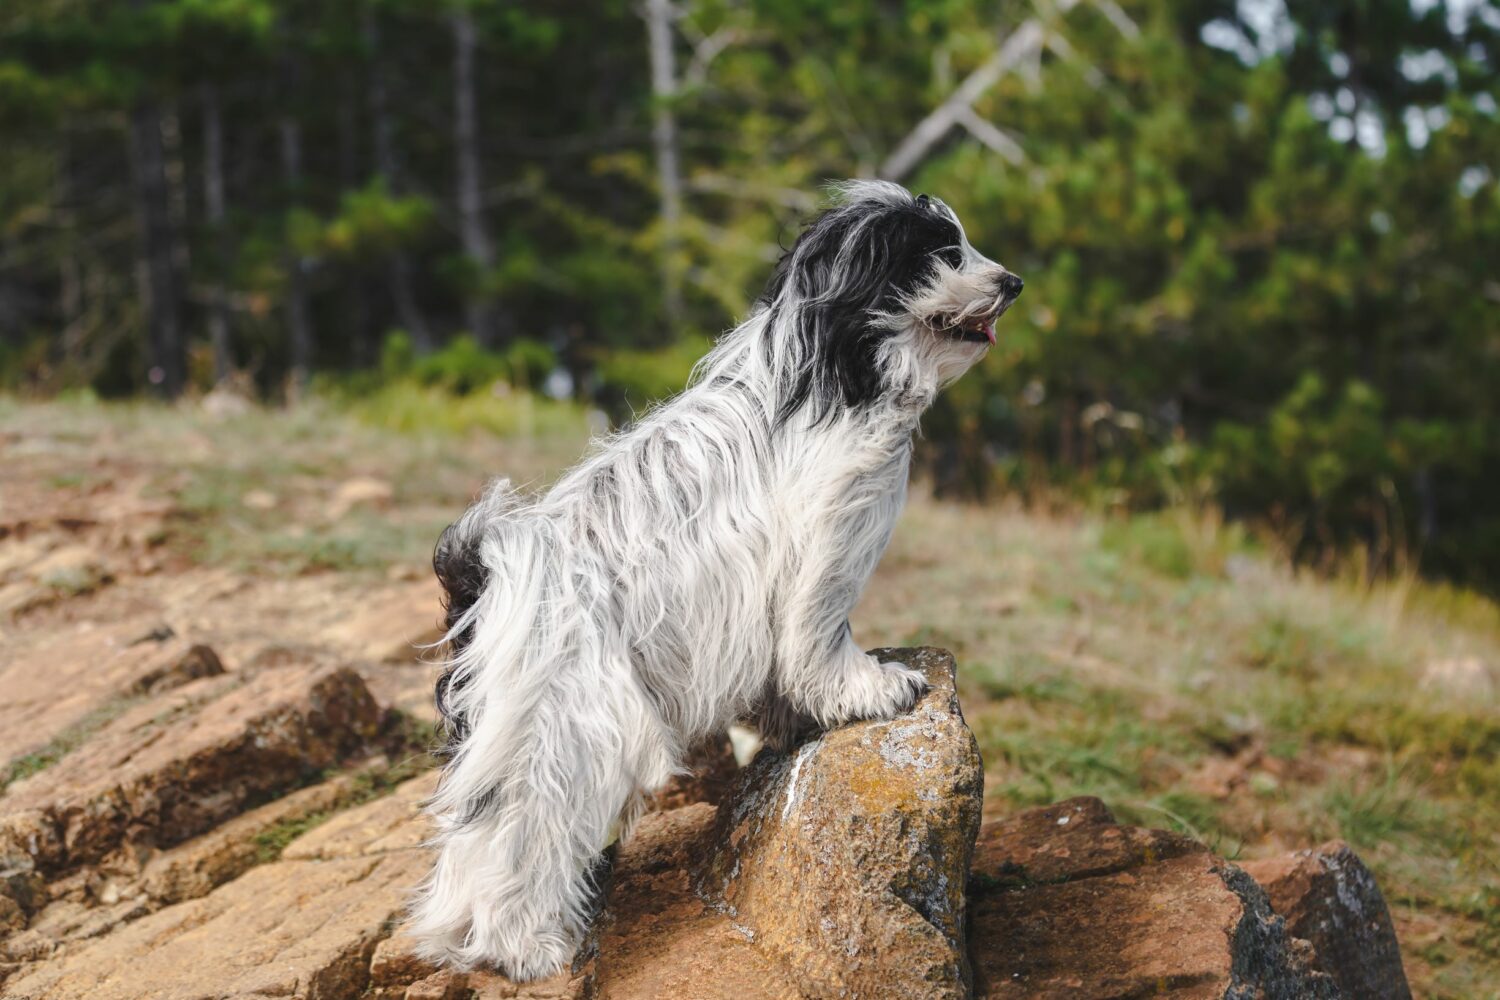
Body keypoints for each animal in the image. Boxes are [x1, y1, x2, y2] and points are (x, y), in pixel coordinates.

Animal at [408, 177, 1020, 977]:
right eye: (943, 252)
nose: (1013, 282)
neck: (837, 363)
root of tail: (488, 571)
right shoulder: (823, 549)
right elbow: (821, 639)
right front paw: (870, 688)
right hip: (565, 724)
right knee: (520, 829)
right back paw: (530, 946)